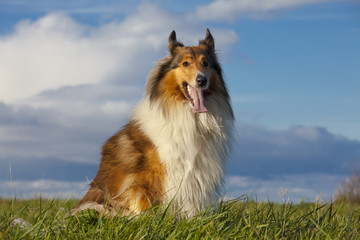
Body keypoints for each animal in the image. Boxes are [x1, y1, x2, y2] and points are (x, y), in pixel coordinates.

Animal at [71, 29, 233, 217]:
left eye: (205, 63)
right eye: (185, 63)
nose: (202, 80)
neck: (188, 114)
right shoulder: (153, 175)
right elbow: (147, 205)